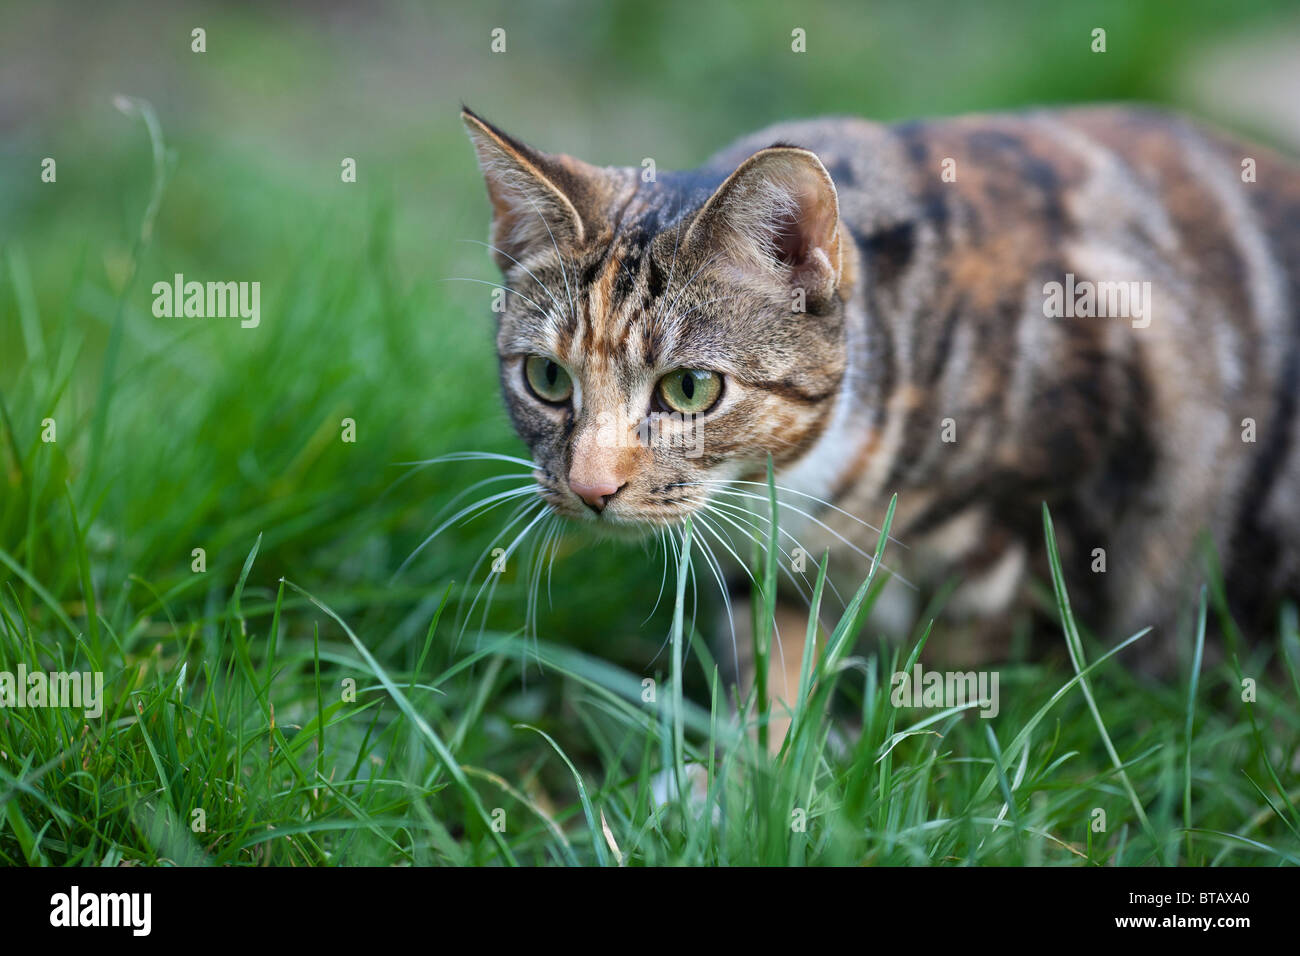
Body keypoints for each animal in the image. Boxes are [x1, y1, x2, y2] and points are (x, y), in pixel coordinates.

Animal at [462, 102, 1300, 686]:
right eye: (547, 378)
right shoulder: (769, 569)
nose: (589, 487)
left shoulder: (1043, 500)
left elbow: (964, 674)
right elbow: (771, 664)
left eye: (690, 388)